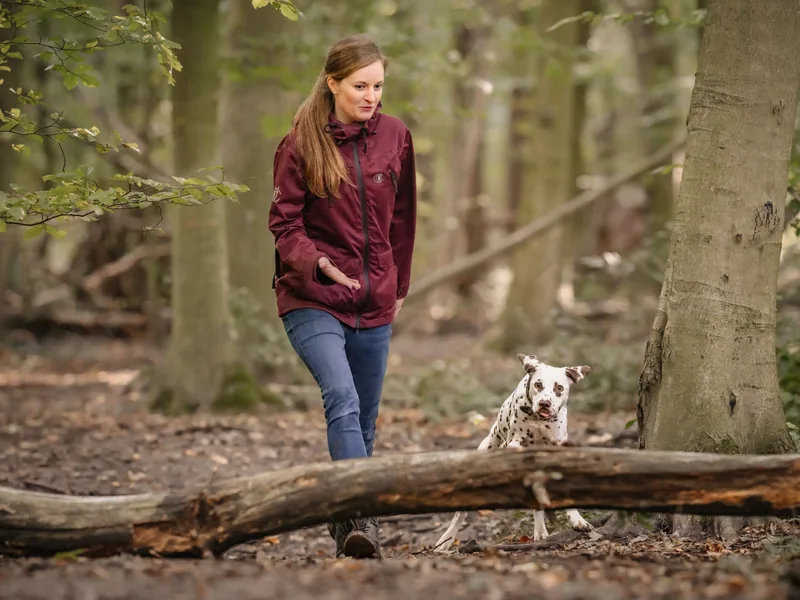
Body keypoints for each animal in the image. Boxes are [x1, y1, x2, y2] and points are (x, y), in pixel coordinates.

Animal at [432, 352, 592, 552]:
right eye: (538, 385)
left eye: (559, 388)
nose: (545, 404)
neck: (538, 421)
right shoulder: (514, 442)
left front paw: (577, 519)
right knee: (459, 515)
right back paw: (446, 540)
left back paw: (540, 532)